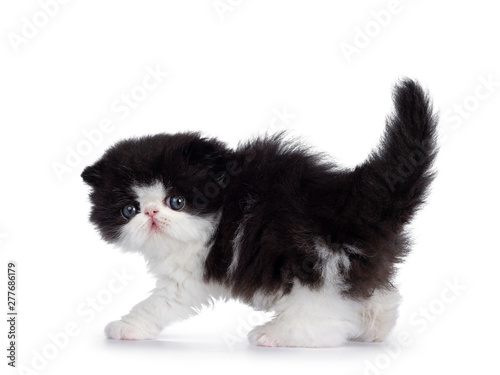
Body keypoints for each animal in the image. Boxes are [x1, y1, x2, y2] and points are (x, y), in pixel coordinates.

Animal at [82, 80, 438, 350]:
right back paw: (375, 328)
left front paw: (128, 326)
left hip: (317, 258)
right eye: (129, 210)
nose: (152, 213)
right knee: (376, 292)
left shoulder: (191, 272)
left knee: (325, 322)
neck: (221, 207)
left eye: (177, 201)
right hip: (355, 259)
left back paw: (276, 335)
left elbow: (159, 303)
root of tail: (355, 195)